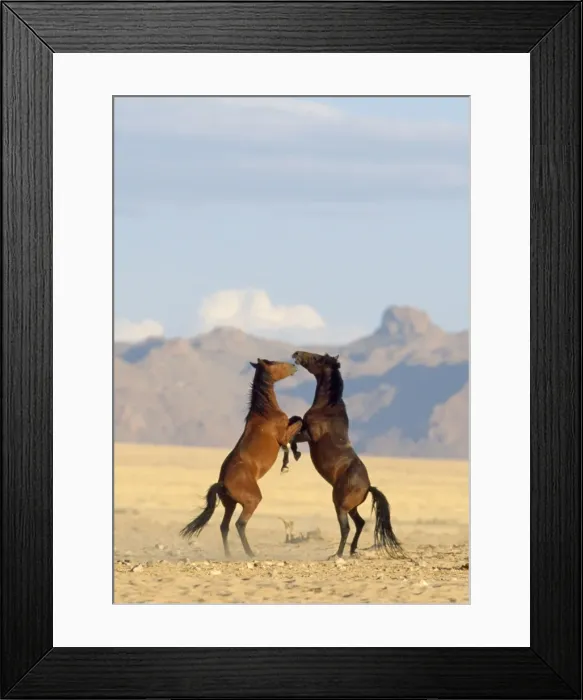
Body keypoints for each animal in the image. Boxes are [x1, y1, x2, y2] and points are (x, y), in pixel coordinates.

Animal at [180, 358, 302, 559]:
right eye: (275, 363)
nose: (294, 365)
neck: (265, 412)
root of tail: (221, 483)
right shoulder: (282, 435)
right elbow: (297, 423)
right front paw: (291, 459)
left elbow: (295, 421)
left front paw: (288, 463)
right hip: (251, 501)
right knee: (240, 524)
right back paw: (250, 553)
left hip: (230, 505)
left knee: (224, 526)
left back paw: (229, 554)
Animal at [286, 350, 403, 559]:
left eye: (317, 358)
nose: (297, 353)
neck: (327, 408)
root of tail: (368, 487)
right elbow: (295, 420)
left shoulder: (309, 436)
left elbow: (295, 432)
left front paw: (296, 454)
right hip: (352, 508)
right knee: (360, 523)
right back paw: (352, 550)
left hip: (340, 506)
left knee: (346, 528)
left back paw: (337, 554)